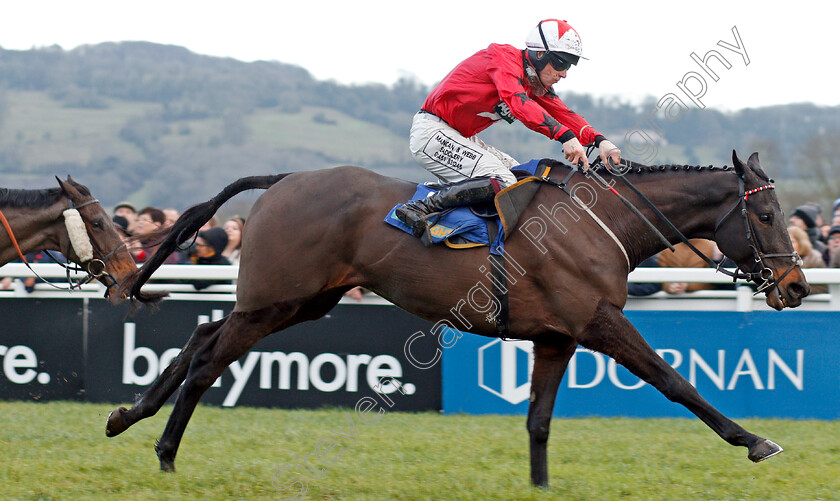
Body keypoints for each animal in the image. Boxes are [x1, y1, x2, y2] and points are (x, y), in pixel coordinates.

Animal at [105, 151, 808, 484]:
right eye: (766, 214)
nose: (798, 286)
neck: (600, 222)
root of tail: (282, 179)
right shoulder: (600, 323)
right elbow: (676, 382)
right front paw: (754, 440)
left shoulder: (556, 338)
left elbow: (539, 422)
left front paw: (540, 486)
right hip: (276, 299)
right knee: (209, 359)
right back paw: (164, 451)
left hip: (301, 301)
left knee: (204, 332)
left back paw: (128, 416)